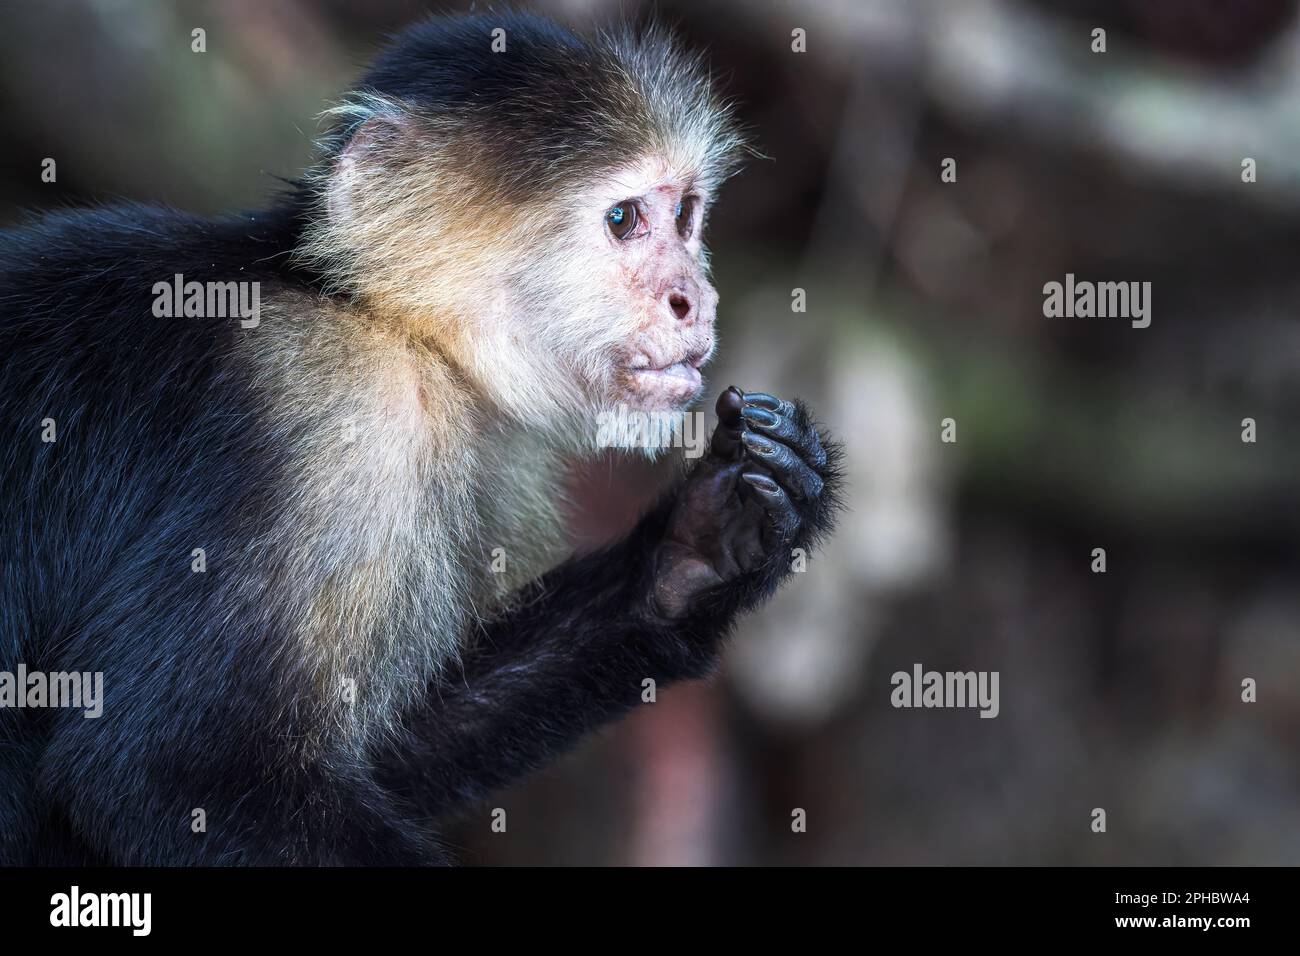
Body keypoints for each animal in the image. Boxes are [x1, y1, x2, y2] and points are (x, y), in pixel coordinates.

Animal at [0, 13, 842, 868]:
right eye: (623, 220)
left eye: (685, 216)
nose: (695, 297)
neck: (382, 317)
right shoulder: (342, 415)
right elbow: (167, 771)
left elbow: (388, 753)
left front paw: (700, 547)